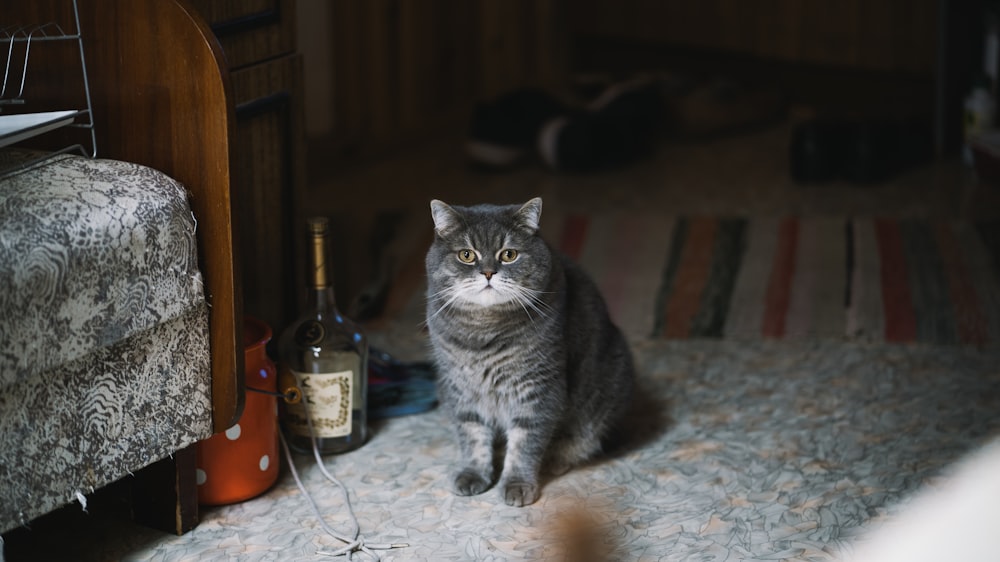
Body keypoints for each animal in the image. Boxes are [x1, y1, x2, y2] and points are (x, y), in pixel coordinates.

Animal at [422, 196, 632, 504]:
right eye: (467, 255)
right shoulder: (460, 388)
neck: (483, 331)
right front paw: (473, 474)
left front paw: (517, 484)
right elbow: (472, 435)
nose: (488, 272)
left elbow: (524, 444)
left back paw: (556, 459)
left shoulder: (538, 389)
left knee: (582, 441)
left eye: (509, 255)